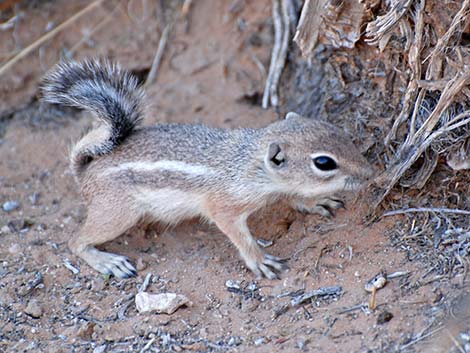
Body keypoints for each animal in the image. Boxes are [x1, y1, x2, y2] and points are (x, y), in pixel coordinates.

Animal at [42, 59, 372, 280]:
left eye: (337, 131)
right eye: (324, 163)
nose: (369, 173)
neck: (249, 162)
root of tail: (86, 170)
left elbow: (294, 196)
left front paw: (316, 201)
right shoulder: (224, 205)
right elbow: (237, 233)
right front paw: (259, 260)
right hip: (117, 213)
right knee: (76, 241)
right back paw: (108, 262)